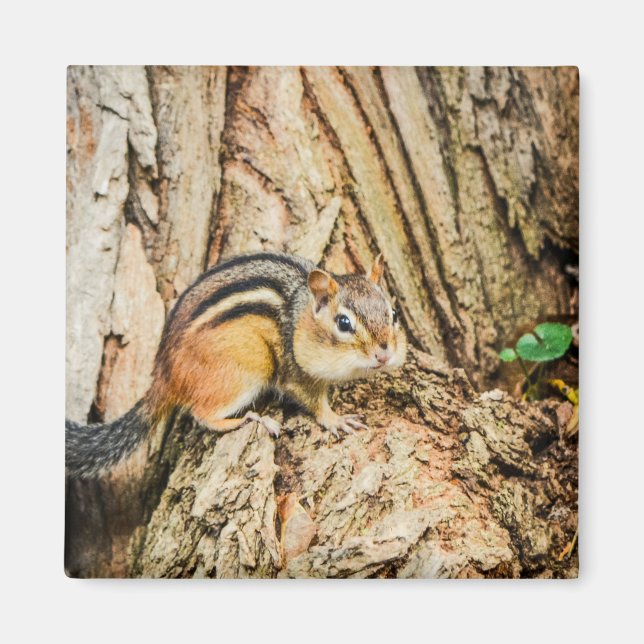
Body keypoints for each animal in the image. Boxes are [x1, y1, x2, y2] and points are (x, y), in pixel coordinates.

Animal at [66, 252, 407, 479]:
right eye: (344, 323)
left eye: (393, 314)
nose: (384, 355)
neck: (299, 317)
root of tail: (163, 371)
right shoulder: (293, 372)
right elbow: (312, 401)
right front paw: (336, 419)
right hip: (245, 371)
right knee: (202, 414)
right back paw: (250, 420)